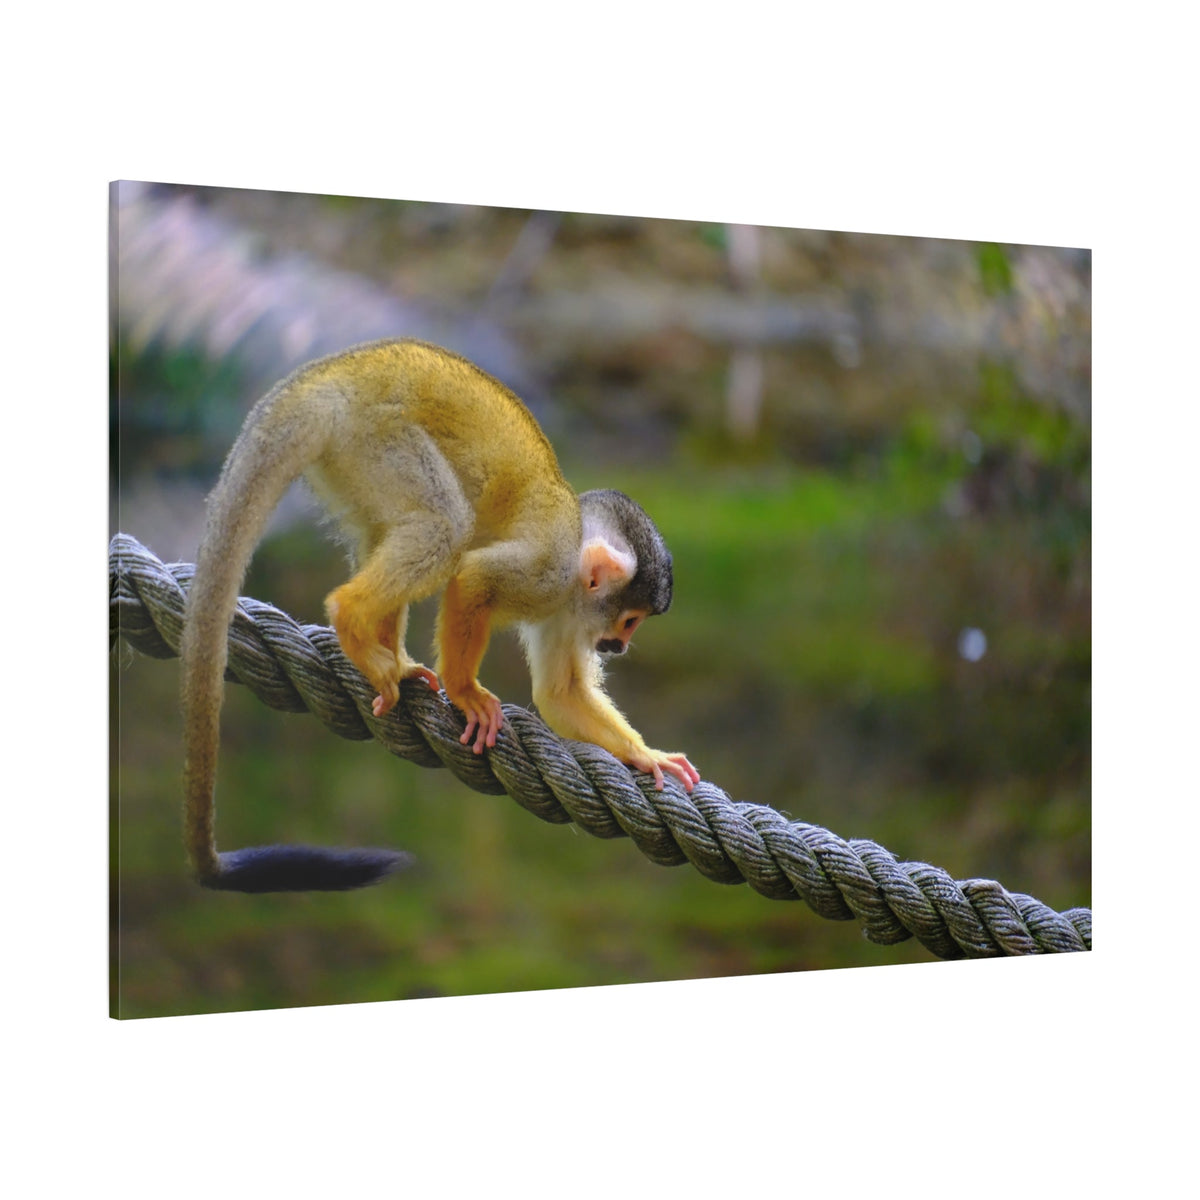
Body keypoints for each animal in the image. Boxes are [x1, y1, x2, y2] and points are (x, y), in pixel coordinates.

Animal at [179, 338, 700, 893]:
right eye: (630, 620)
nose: (619, 645)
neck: (574, 573)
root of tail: (326, 376)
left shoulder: (565, 612)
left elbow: (559, 695)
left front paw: (644, 755)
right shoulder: (548, 571)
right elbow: (473, 578)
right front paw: (466, 691)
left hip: (351, 458)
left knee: (388, 528)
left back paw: (390, 657)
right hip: (378, 436)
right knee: (445, 527)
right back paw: (353, 619)